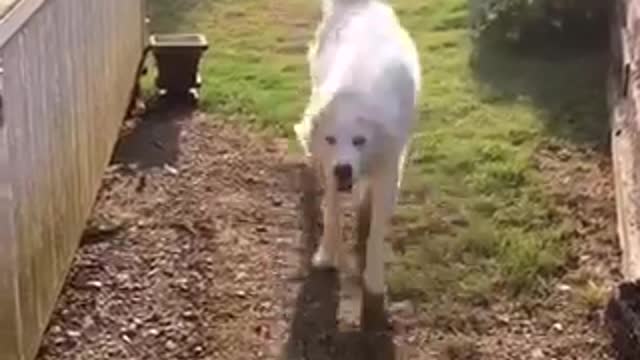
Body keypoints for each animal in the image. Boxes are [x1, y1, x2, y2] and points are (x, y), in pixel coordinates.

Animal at [294, 0, 420, 300]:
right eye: (330, 140)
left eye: (359, 140)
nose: (343, 169)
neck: (354, 95)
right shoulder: (328, 167)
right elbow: (332, 213)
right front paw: (326, 255)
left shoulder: (388, 167)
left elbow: (375, 231)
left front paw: (373, 278)